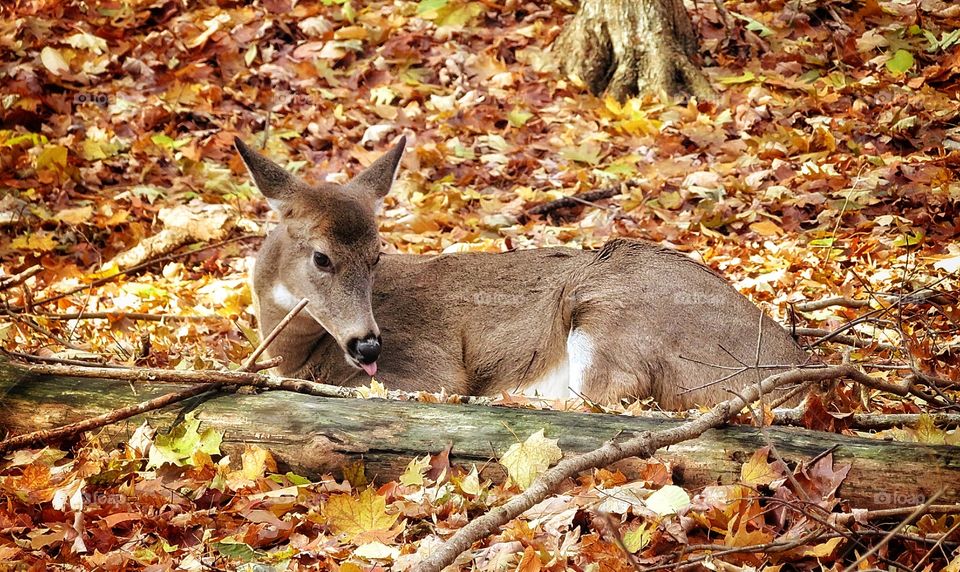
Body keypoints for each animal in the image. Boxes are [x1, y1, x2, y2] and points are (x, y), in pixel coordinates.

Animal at [236, 136, 808, 408]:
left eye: (378, 255)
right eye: (321, 257)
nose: (368, 343)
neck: (297, 352)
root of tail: (797, 370)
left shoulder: (429, 369)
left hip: (615, 310)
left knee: (611, 397)